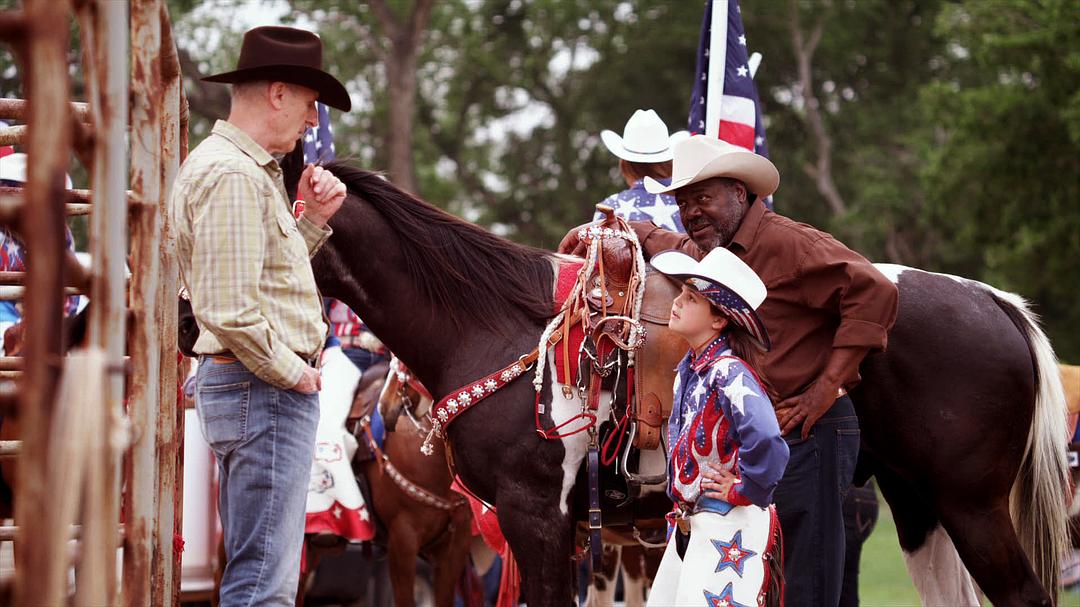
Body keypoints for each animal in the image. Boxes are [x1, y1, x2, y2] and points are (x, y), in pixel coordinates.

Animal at [282, 154, 1067, 600]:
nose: (393, 410)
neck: (490, 324)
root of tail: (993, 302)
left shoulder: (534, 516)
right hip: (921, 508)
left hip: (972, 506)